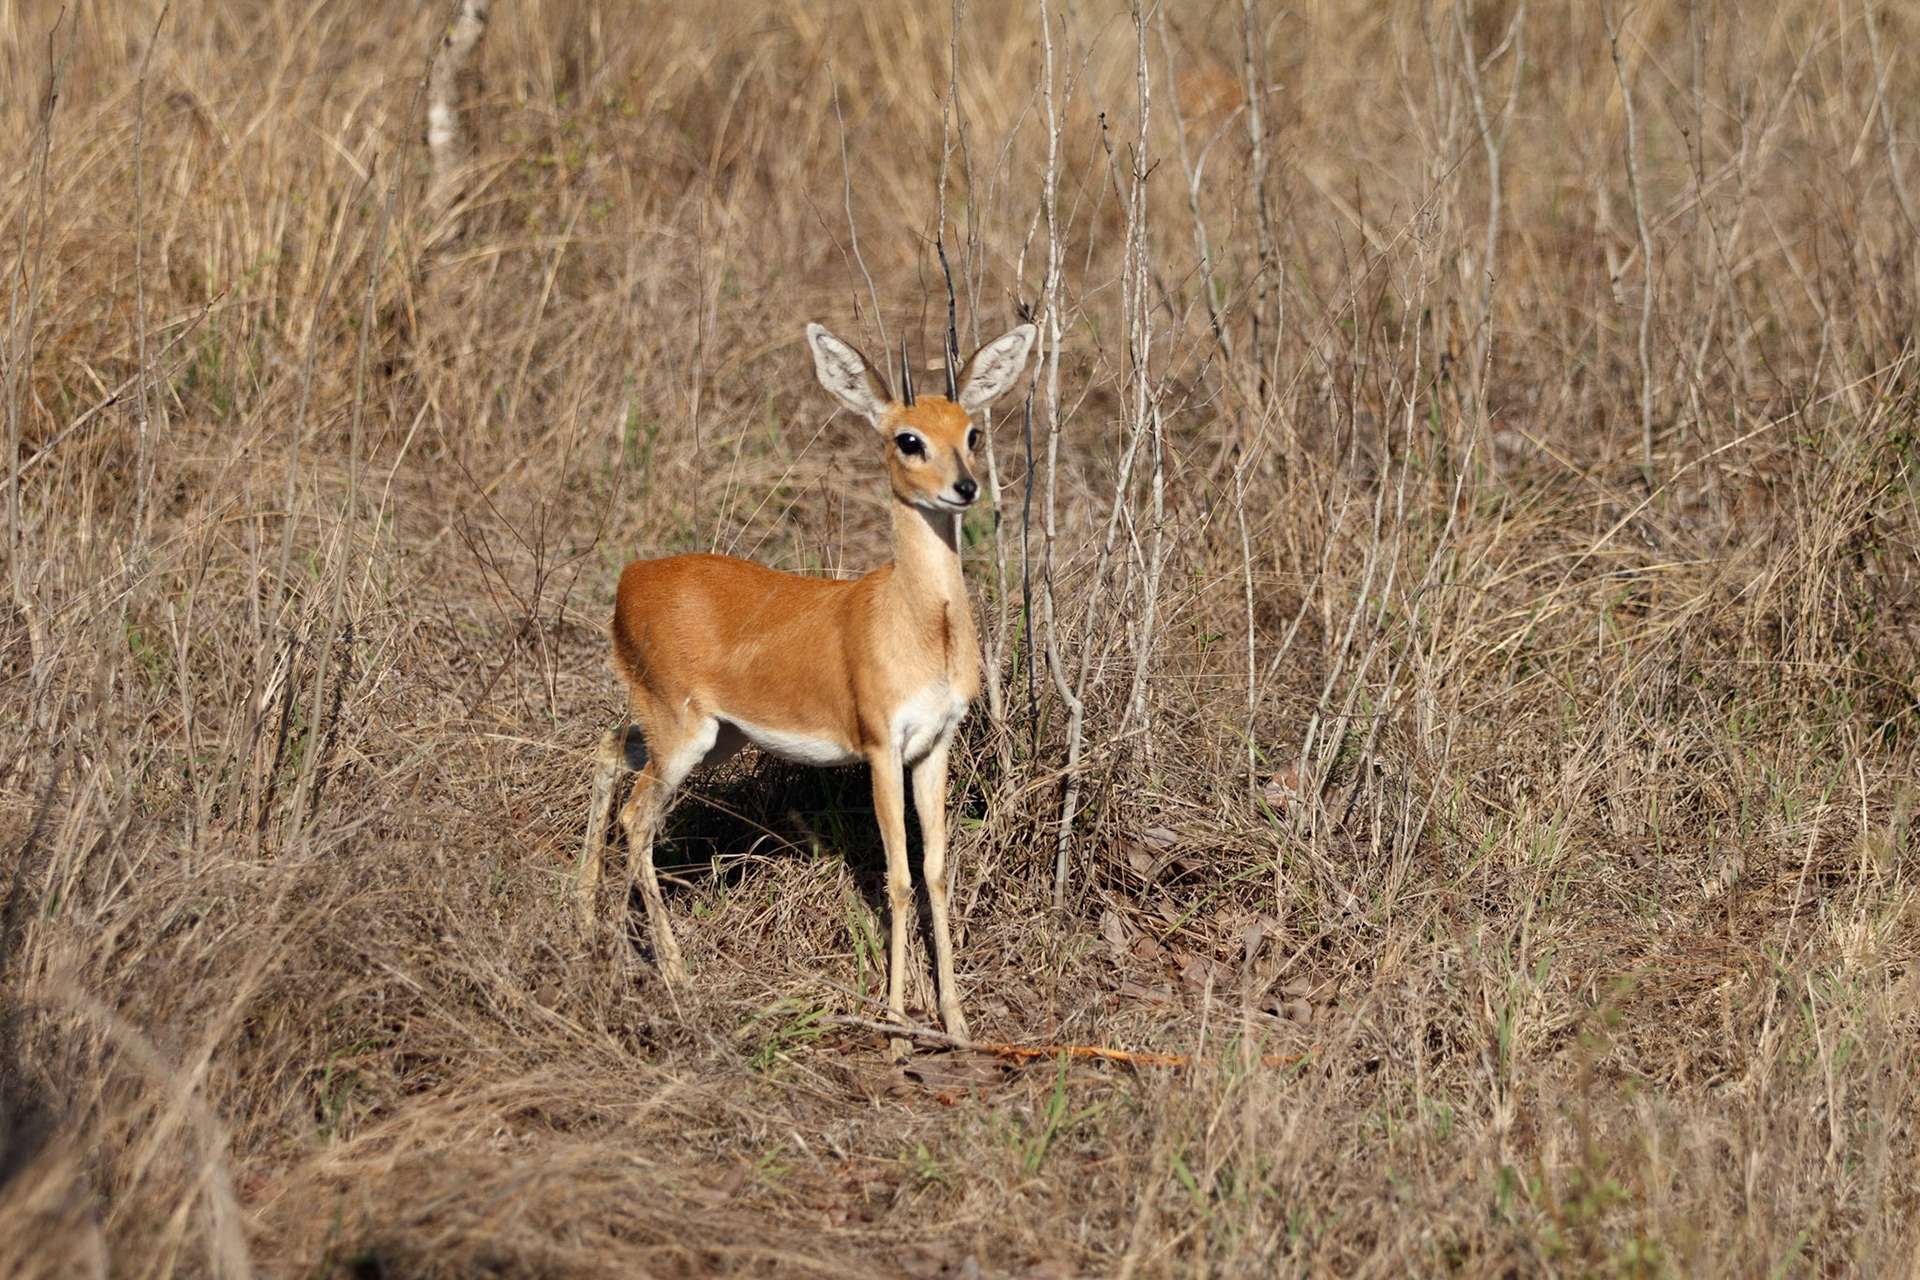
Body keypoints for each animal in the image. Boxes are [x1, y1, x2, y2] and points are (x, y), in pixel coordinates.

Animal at [579, 319, 1037, 1044]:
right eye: (908, 438)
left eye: (971, 432)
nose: (964, 488)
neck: (916, 621)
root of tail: (632, 578)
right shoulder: (880, 749)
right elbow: (897, 876)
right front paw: (894, 1018)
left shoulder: (934, 746)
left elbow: (936, 873)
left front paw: (957, 1021)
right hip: (683, 736)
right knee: (636, 817)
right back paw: (676, 977)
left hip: (711, 737)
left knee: (605, 750)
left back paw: (582, 922)